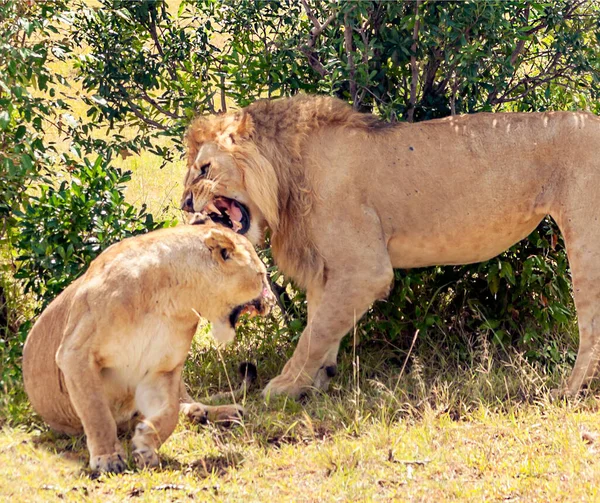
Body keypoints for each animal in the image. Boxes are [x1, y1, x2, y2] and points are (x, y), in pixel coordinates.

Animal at [22, 222, 276, 474]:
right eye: (262, 275)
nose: (273, 301)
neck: (173, 299)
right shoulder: (76, 354)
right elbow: (96, 411)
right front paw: (108, 457)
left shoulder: (161, 369)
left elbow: (169, 412)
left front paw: (145, 446)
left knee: (185, 401)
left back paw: (218, 411)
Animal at [180, 94, 600, 400]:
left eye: (204, 169)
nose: (184, 203)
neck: (285, 176)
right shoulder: (330, 269)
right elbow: (321, 323)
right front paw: (316, 381)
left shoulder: (366, 269)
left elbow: (313, 334)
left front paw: (285, 385)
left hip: (585, 239)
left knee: (591, 324)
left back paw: (569, 390)